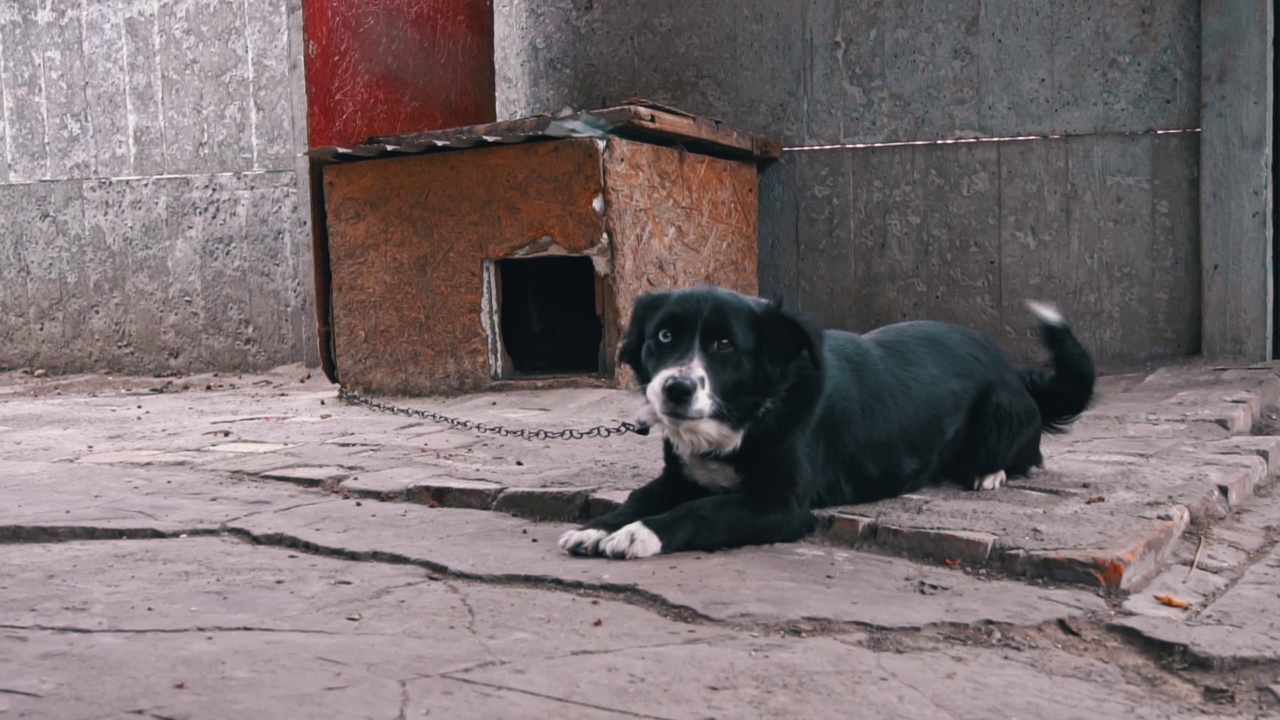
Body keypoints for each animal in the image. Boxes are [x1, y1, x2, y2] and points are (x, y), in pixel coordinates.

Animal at [555, 285, 1095, 561]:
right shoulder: (678, 476)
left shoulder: (781, 506)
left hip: (1002, 410)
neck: (749, 415)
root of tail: (1013, 370)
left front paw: (638, 535)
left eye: (724, 345)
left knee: (1025, 457)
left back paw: (988, 472)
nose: (675, 389)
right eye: (664, 336)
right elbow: (638, 497)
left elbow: (701, 512)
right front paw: (599, 526)